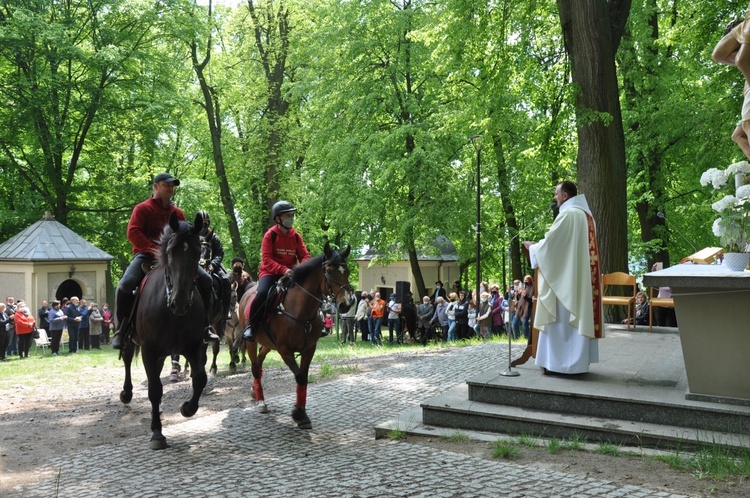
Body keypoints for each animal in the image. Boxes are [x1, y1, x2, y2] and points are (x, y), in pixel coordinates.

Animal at [119, 211, 209, 452]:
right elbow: (154, 390)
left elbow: (200, 378)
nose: (180, 302)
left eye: (197, 252)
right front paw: (157, 433)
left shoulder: (194, 345)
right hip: (133, 342)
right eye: (170, 252)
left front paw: (187, 408)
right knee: (128, 360)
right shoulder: (149, 350)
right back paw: (127, 393)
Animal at [242, 241, 356, 428]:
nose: (346, 304)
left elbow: (304, 378)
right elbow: (300, 377)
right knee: (255, 367)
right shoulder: (285, 351)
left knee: (258, 363)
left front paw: (301, 413)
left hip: (268, 344)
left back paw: (255, 393)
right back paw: (261, 401)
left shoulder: (309, 349)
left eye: (347, 271)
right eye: (329, 272)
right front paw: (299, 414)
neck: (300, 310)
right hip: (252, 342)